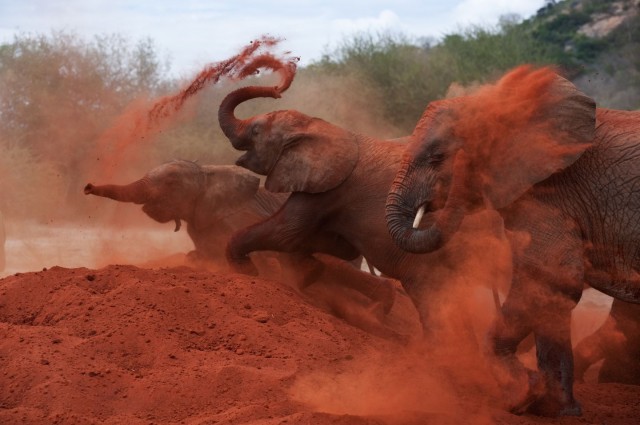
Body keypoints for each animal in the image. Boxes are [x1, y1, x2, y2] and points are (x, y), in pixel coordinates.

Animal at [384, 66, 640, 414]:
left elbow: (552, 279)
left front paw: (522, 395)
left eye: (438, 157)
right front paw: (555, 409)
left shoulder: (551, 194)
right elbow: (552, 290)